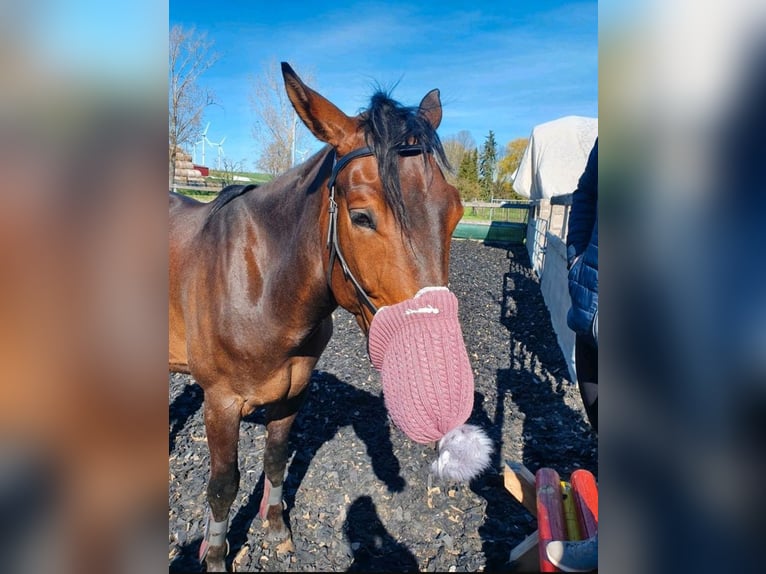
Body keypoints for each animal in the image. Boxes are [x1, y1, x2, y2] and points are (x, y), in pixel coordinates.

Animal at [169, 62, 463, 571]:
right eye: (362, 216)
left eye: (456, 212)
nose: (437, 371)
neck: (261, 288)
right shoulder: (220, 403)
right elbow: (223, 486)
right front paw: (216, 556)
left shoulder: (292, 390)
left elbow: (276, 457)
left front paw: (276, 526)